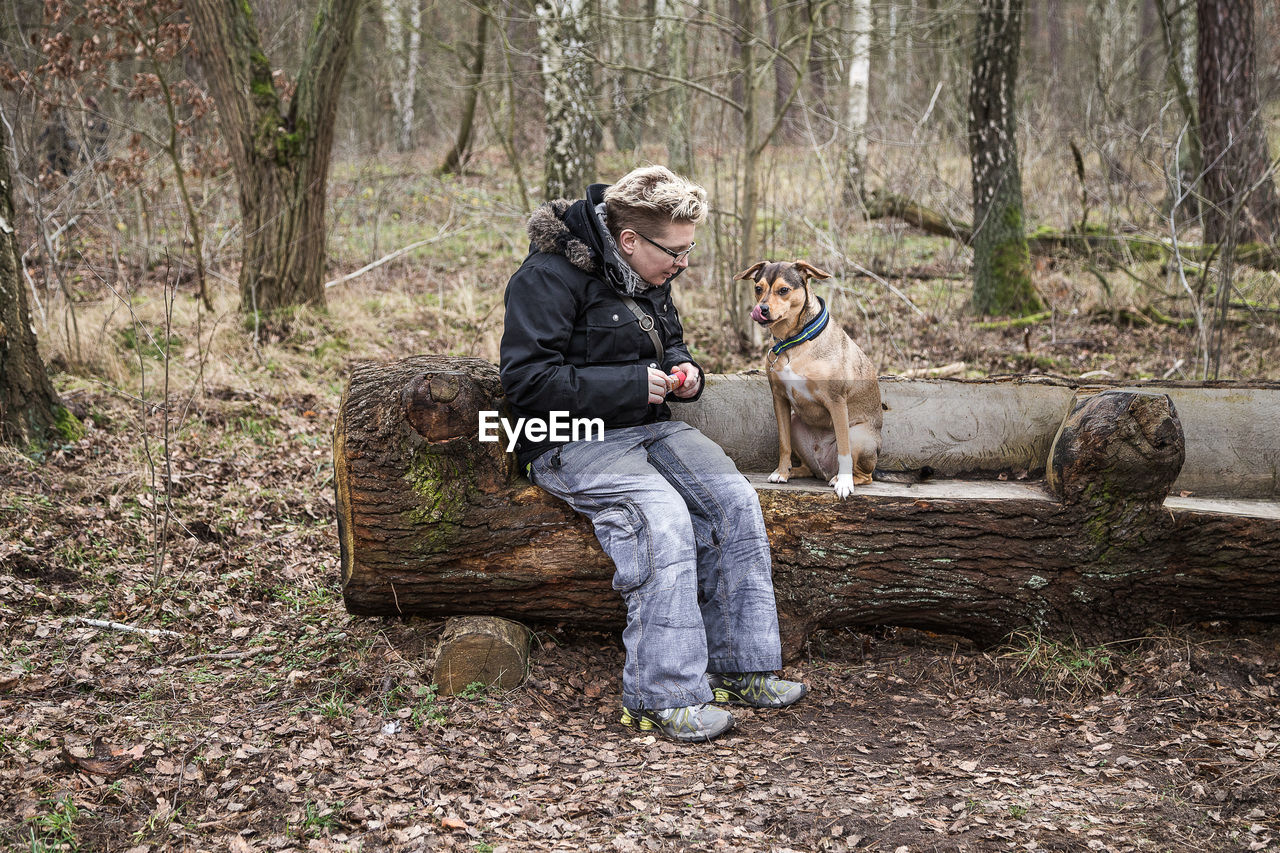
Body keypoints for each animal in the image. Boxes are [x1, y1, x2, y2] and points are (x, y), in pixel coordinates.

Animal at [742, 261, 880, 499]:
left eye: (784, 290)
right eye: (758, 288)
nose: (762, 309)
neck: (794, 342)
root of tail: (824, 469)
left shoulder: (837, 402)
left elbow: (844, 450)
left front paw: (845, 484)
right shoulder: (779, 399)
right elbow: (783, 443)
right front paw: (781, 472)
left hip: (859, 435)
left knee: (864, 473)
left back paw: (841, 478)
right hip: (796, 423)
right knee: (809, 468)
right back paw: (795, 471)